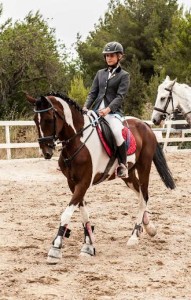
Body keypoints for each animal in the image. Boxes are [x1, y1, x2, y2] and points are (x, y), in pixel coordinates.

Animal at [26, 92, 175, 264]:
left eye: (49, 119)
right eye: (34, 120)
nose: (46, 152)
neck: (77, 140)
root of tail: (145, 125)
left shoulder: (83, 183)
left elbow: (67, 213)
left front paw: (55, 248)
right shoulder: (73, 183)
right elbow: (83, 213)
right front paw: (88, 246)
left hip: (144, 167)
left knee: (144, 197)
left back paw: (134, 237)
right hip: (128, 175)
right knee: (139, 196)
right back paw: (148, 228)